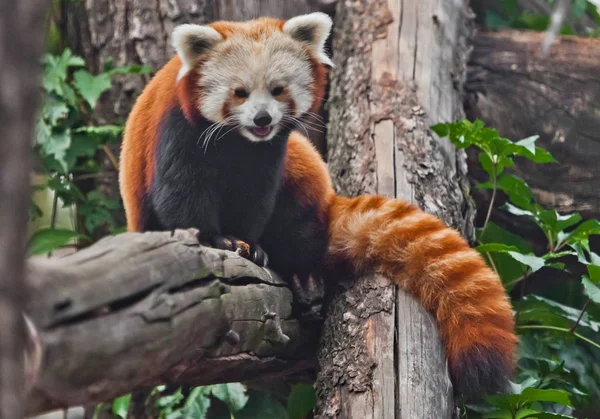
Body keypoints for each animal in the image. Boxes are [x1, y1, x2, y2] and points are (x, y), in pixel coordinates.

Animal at [119, 12, 516, 400]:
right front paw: (219, 240)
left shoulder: (267, 155)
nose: (262, 119)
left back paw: (302, 278)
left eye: (278, 89)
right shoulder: (180, 129)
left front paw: (250, 244)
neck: (240, 142)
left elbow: (256, 200)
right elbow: (181, 197)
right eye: (240, 93)